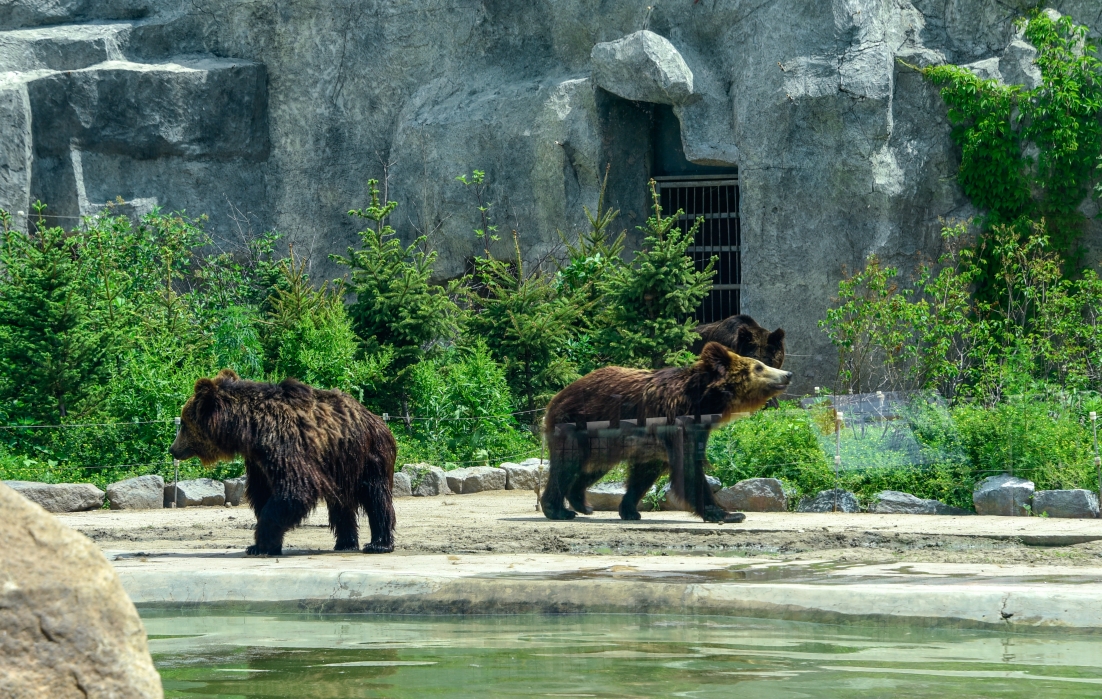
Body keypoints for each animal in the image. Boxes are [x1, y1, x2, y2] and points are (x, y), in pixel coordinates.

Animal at [167, 368, 396, 553]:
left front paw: (261, 544)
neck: (249, 430)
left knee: (375, 495)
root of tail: (374, 417)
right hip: (341, 463)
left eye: (184, 423)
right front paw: (264, 545)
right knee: (341, 503)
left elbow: (295, 491)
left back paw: (378, 544)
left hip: (369, 455)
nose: (173, 449)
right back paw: (345, 543)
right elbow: (262, 493)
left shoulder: (285, 446)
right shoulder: (258, 461)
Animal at [542, 339, 793, 520]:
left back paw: (582, 504)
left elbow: (646, 472)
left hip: (603, 440)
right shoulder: (677, 423)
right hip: (579, 426)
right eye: (758, 366)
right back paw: (558, 509)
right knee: (567, 465)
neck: (702, 404)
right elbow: (689, 467)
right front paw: (726, 513)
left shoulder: (658, 440)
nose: (788, 374)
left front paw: (630, 510)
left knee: (593, 467)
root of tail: (557, 397)